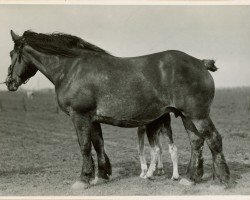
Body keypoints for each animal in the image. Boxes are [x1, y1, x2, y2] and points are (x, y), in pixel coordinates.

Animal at [5, 30, 230, 189]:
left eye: (11, 54)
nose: (9, 82)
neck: (72, 68)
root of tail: (199, 62)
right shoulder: (93, 119)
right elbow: (98, 144)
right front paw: (102, 175)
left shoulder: (79, 116)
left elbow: (84, 146)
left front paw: (83, 179)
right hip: (186, 116)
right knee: (197, 142)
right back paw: (191, 178)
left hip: (198, 115)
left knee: (213, 139)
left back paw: (221, 180)